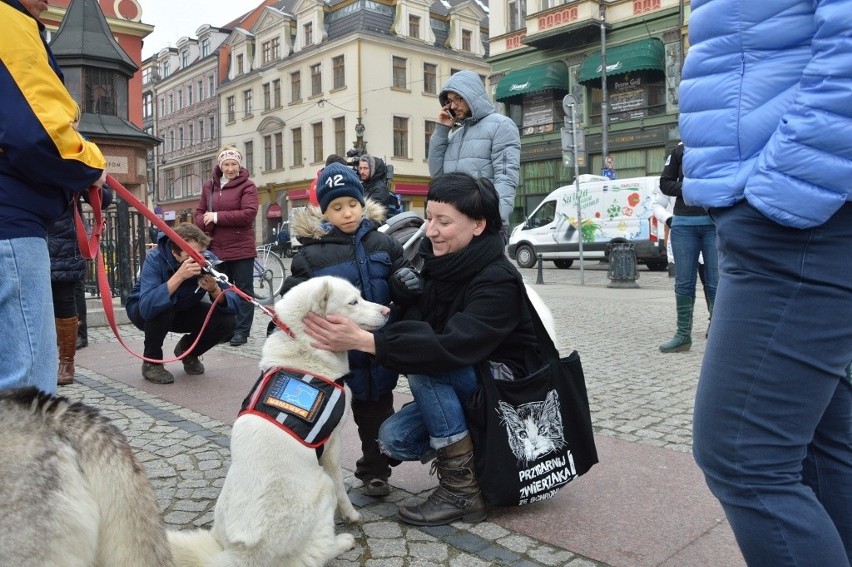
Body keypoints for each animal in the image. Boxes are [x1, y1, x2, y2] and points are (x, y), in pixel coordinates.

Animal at [171, 278, 392, 567]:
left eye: (361, 297)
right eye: (353, 302)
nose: (388, 311)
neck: (305, 350)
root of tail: (241, 554)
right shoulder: (332, 445)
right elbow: (342, 488)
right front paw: (350, 516)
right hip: (322, 488)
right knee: (315, 553)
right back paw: (342, 542)